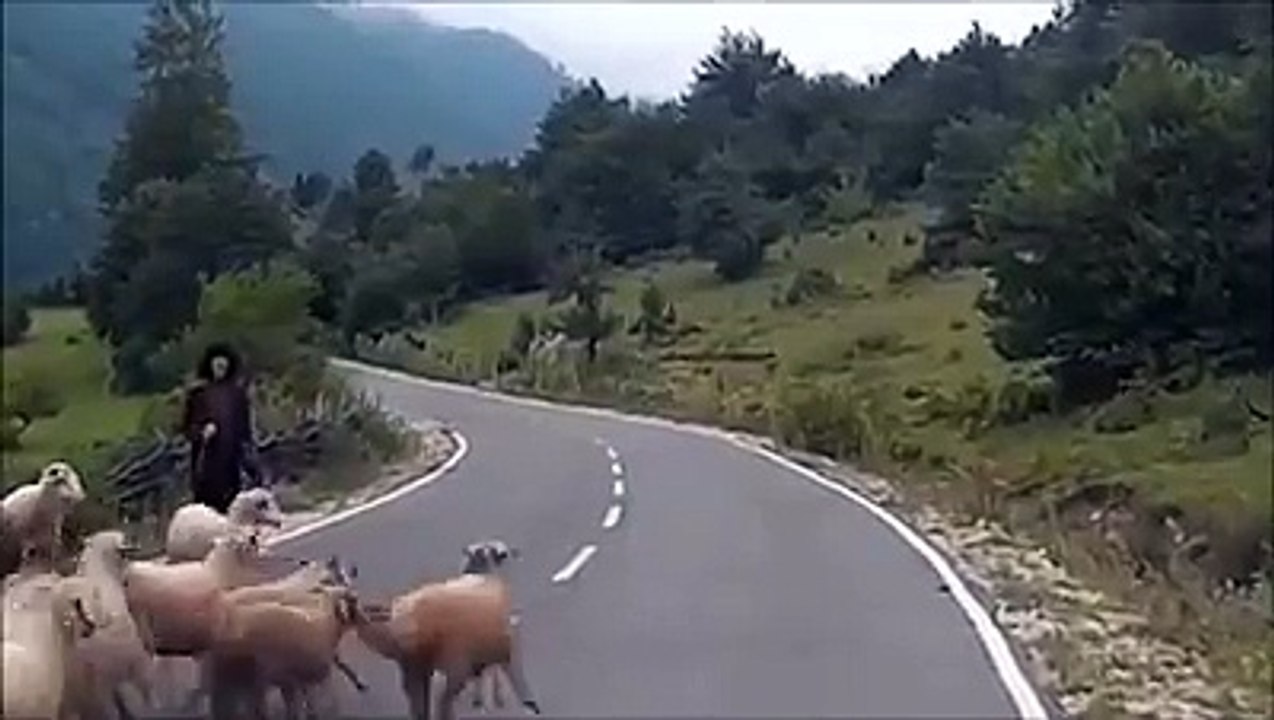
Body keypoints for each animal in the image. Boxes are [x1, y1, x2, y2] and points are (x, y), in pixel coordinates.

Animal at [351, 540, 540, 720]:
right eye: (504, 553)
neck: (485, 573)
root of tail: (408, 617)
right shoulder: (504, 648)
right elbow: (508, 676)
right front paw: (523, 703)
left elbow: (484, 676)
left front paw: (482, 700)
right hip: (453, 664)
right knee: (443, 701)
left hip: (414, 667)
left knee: (420, 705)